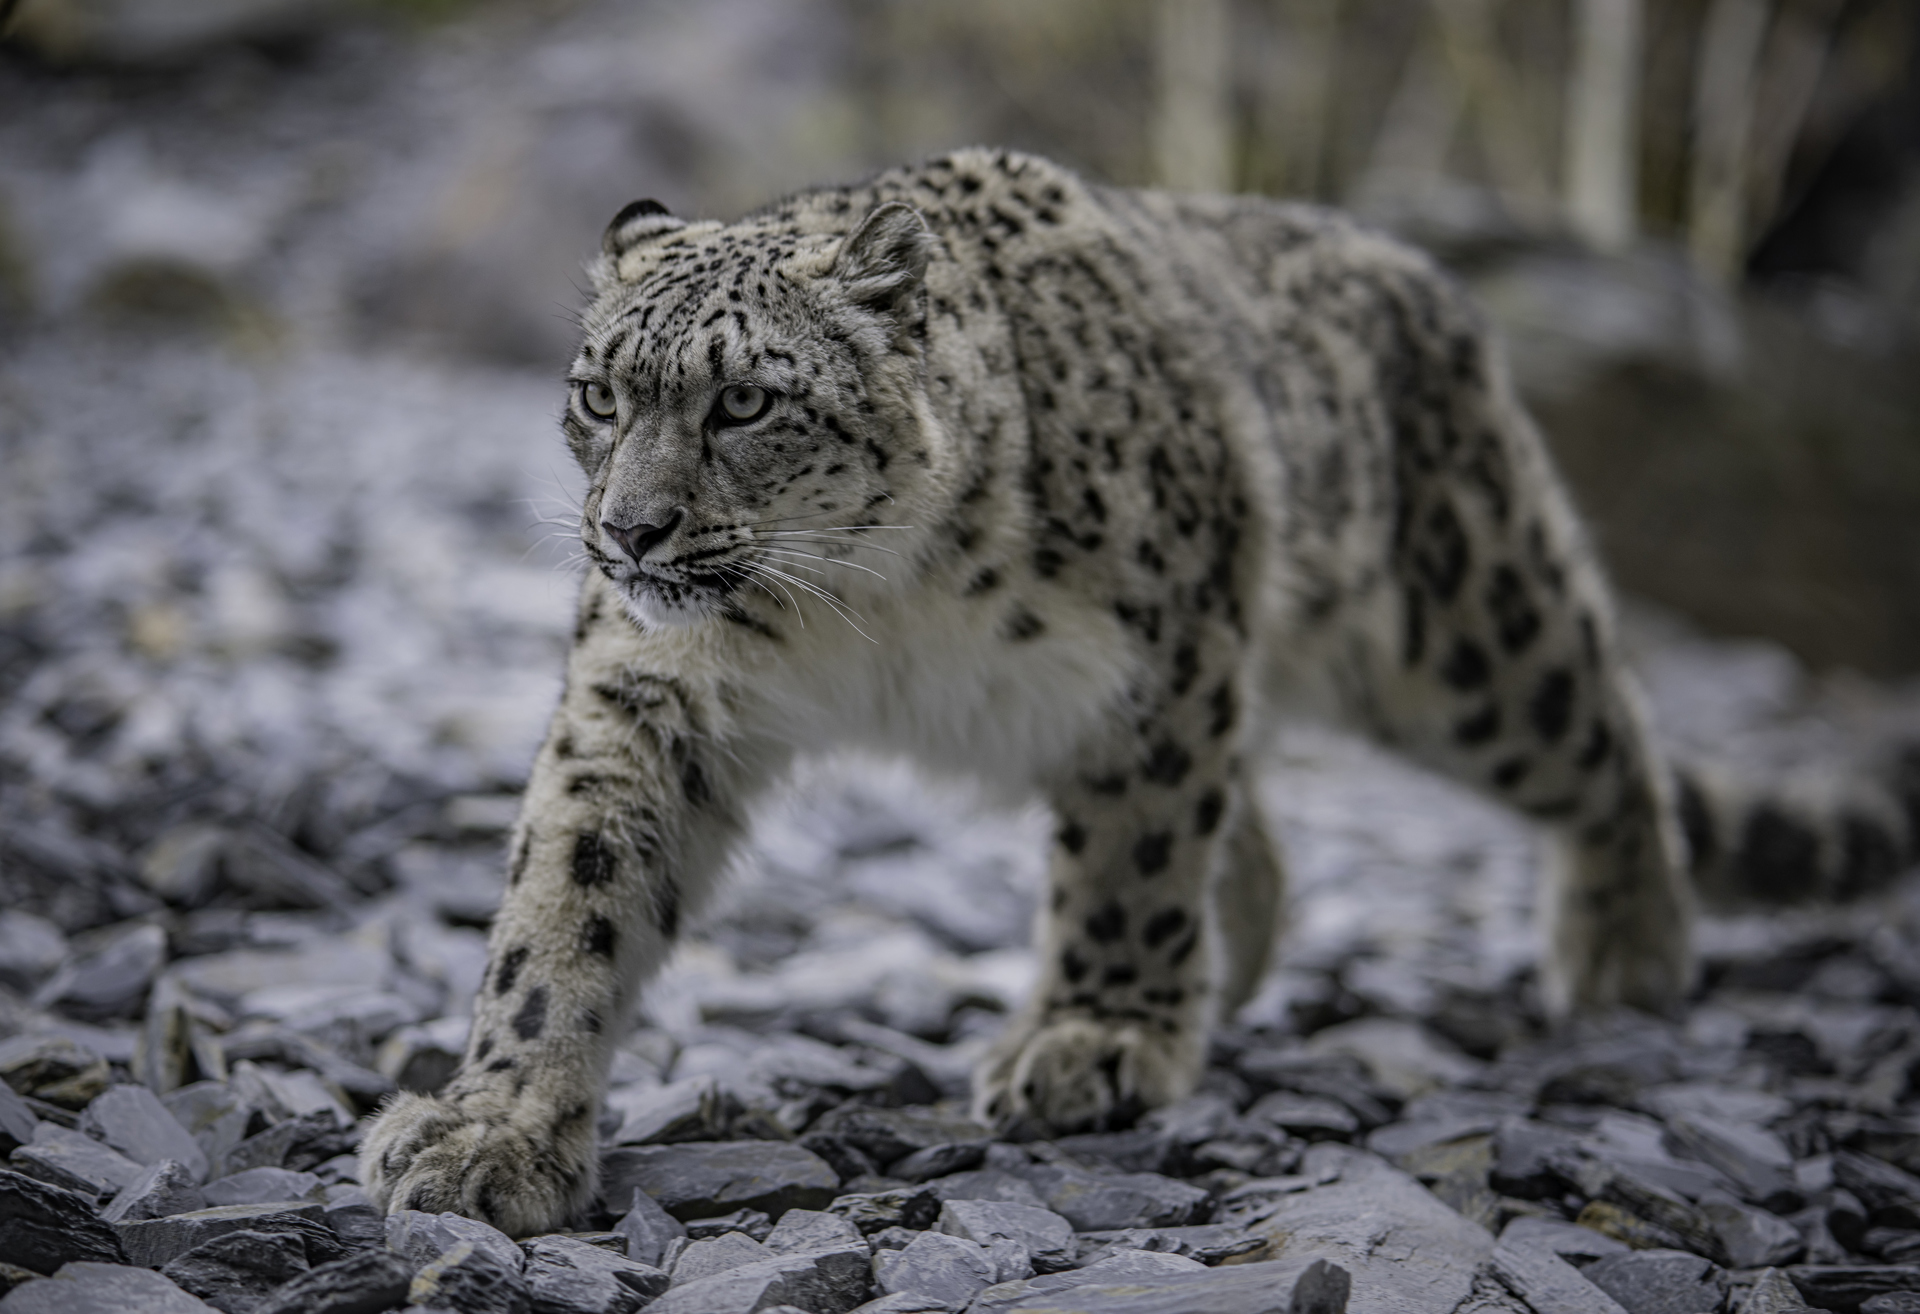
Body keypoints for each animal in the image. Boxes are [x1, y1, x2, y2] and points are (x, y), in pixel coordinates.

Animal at [361, 148, 1920, 1237]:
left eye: (744, 400)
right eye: (598, 394)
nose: (628, 533)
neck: (858, 606)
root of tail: (1424, 276)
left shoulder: (1156, 664)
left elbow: (1133, 849)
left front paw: (1096, 1034)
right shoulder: (644, 692)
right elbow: (569, 892)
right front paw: (492, 1129)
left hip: (1467, 633)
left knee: (1604, 734)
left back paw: (1626, 950)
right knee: (1270, 833)